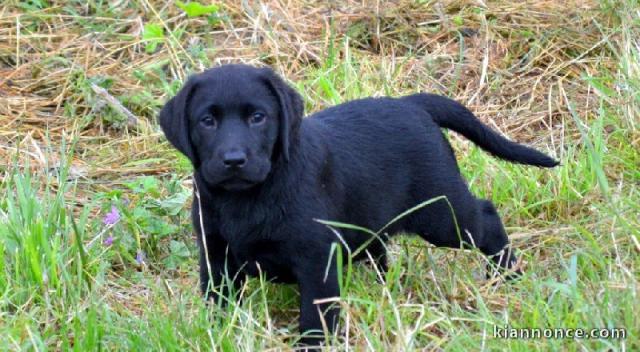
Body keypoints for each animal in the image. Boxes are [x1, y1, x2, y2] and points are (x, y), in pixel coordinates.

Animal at [158, 64, 556, 346]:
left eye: (258, 117)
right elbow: (218, 302)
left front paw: (313, 346)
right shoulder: (215, 255)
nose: (234, 160)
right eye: (207, 121)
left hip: (441, 212)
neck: (247, 198)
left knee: (486, 217)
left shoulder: (316, 258)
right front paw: (216, 333)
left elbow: (315, 316)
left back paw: (507, 273)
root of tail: (411, 104)